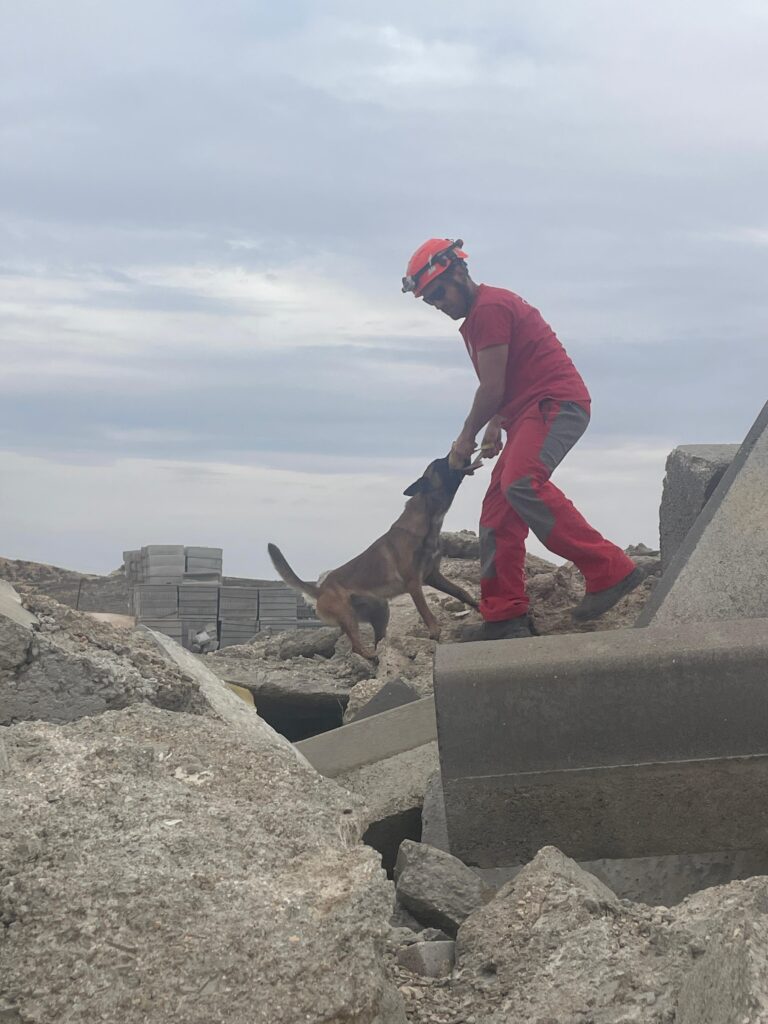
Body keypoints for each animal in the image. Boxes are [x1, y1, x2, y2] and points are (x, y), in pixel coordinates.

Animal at [268, 454, 479, 655]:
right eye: (442, 463)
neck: (428, 518)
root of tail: (319, 590)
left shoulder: (432, 576)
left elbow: (462, 592)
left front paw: (478, 606)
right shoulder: (414, 583)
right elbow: (427, 613)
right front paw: (435, 633)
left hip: (381, 610)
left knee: (377, 641)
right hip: (347, 614)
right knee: (356, 646)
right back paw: (371, 657)